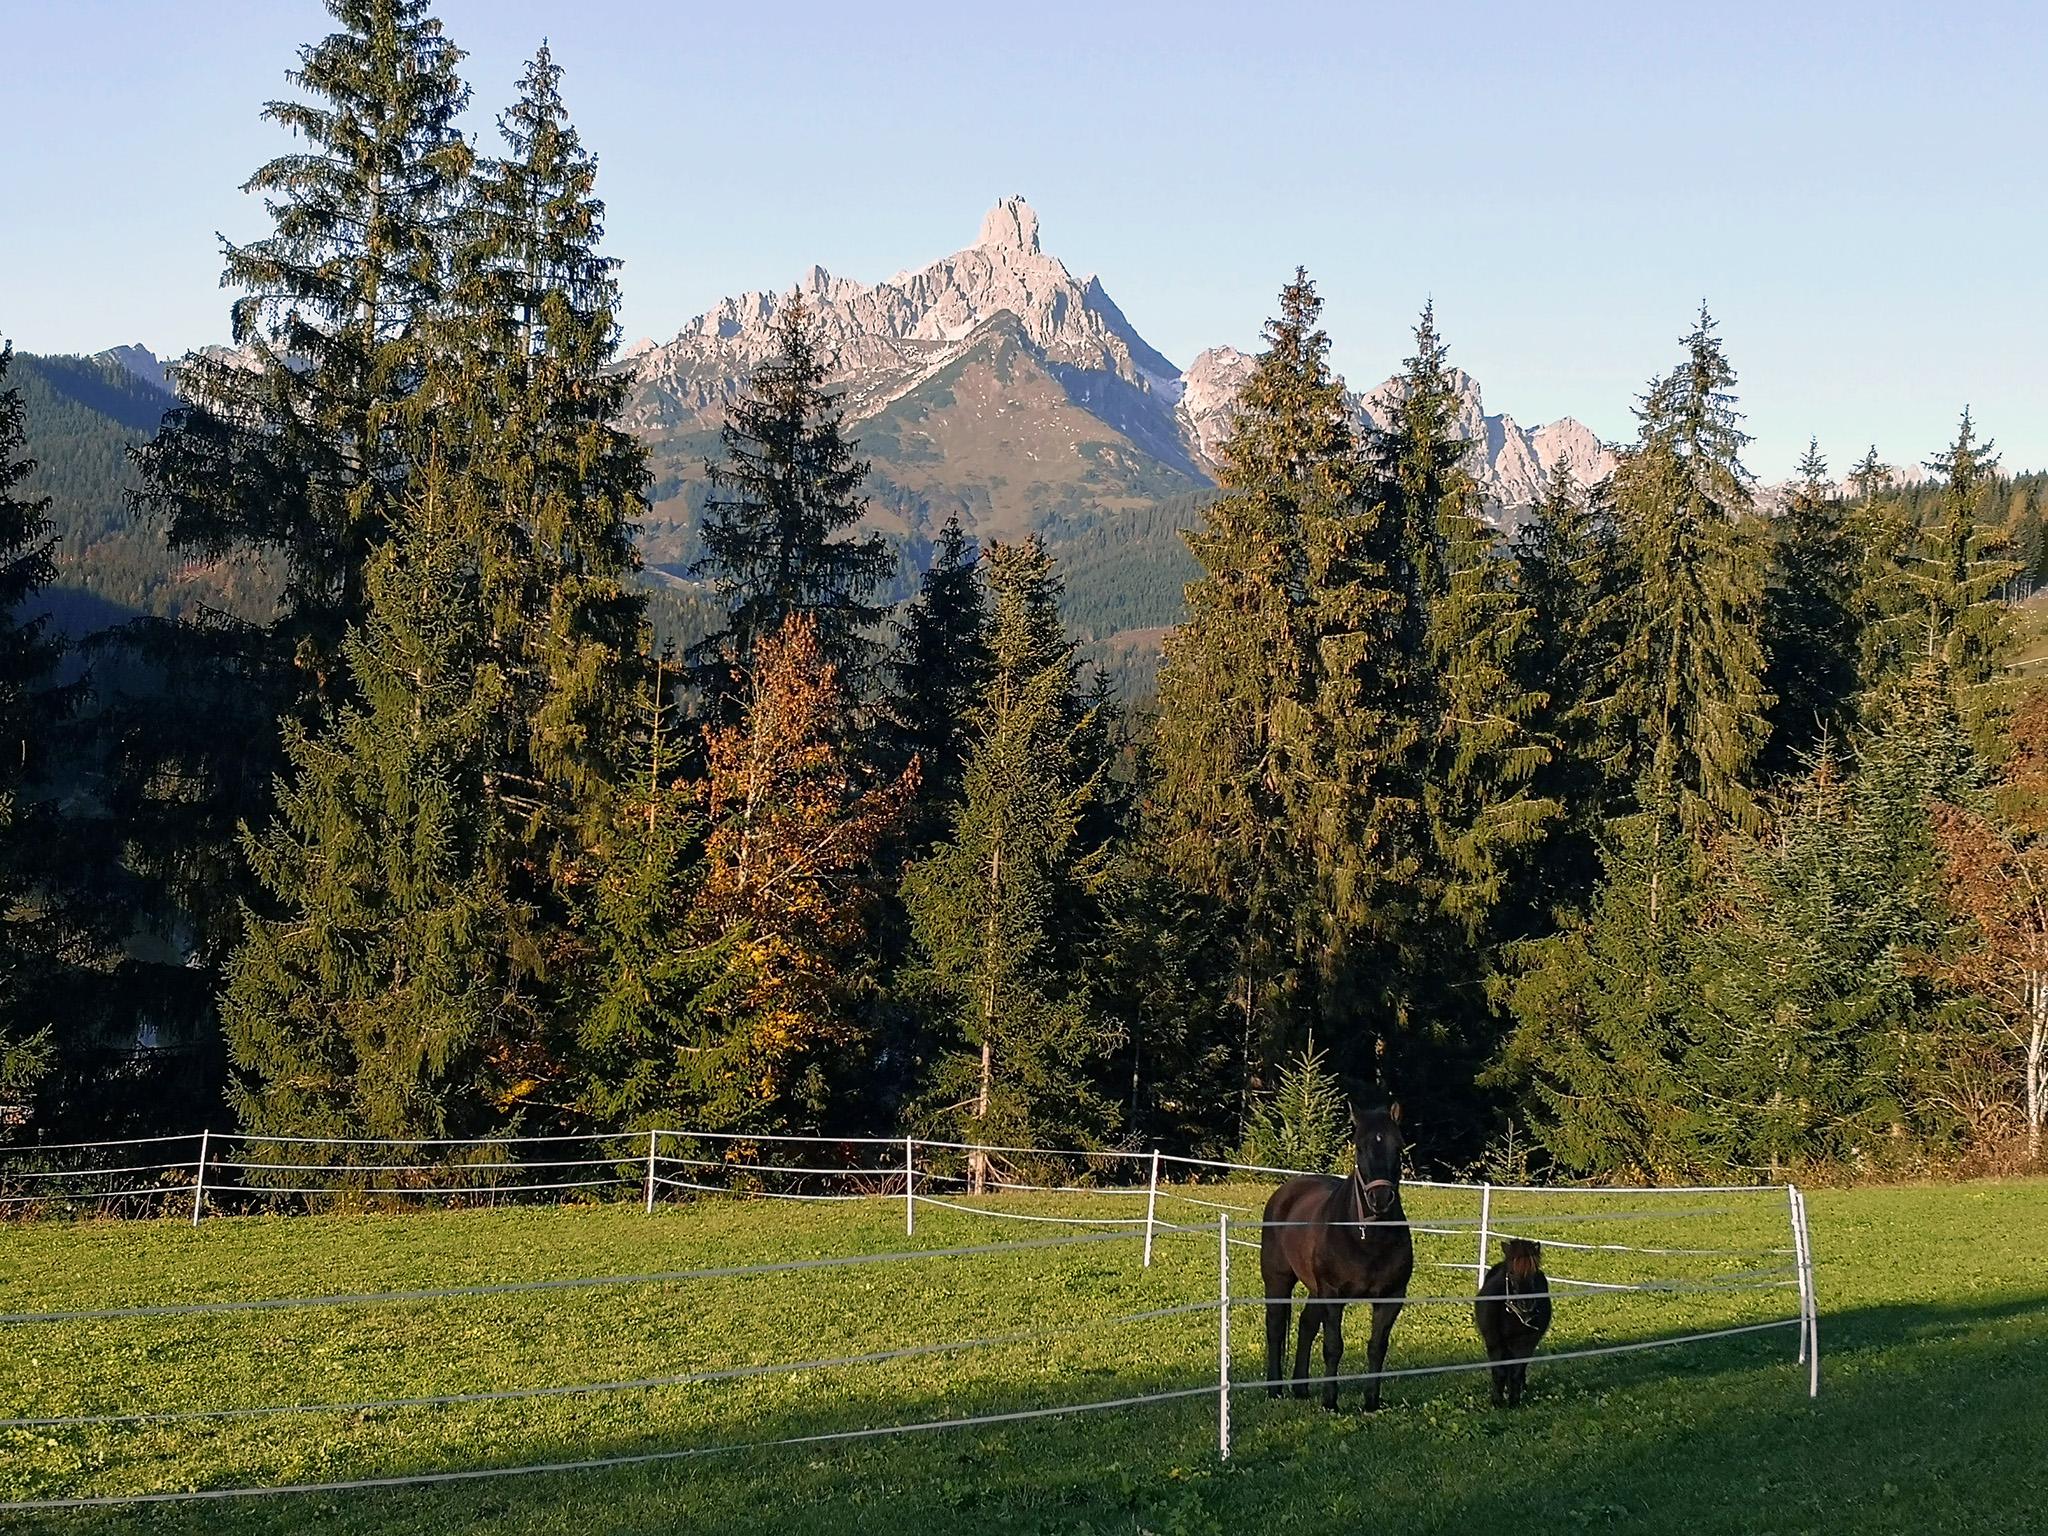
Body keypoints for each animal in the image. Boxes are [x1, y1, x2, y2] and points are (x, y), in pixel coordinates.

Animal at [1258, 1103, 1415, 1411]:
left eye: (1399, 1146)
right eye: (1359, 1148)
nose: (1380, 1198)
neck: (1367, 1238)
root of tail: (1284, 1192)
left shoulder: (1391, 1297)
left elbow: (1376, 1347)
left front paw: (1371, 1402)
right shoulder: (1333, 1294)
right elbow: (1333, 1346)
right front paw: (1330, 1402)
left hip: (1314, 1289)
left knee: (1306, 1325)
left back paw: (1301, 1388)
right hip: (1278, 1280)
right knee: (1275, 1327)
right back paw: (1275, 1389)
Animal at [1474, 1237, 1552, 1407]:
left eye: (1534, 1272)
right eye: (1511, 1272)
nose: (1526, 1303)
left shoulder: (1527, 1342)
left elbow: (1517, 1370)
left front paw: (1514, 1400)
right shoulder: (1494, 1341)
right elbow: (1499, 1371)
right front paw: (1497, 1401)